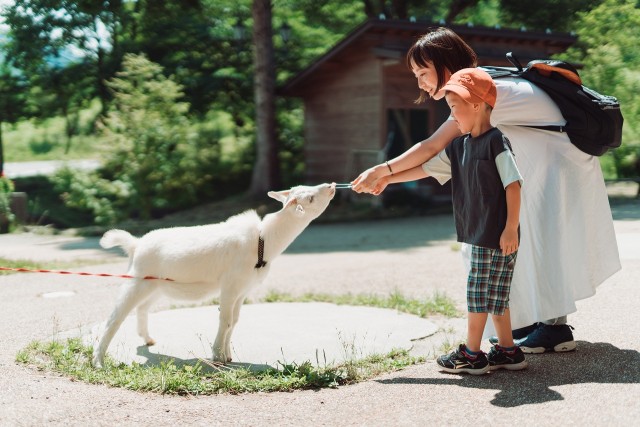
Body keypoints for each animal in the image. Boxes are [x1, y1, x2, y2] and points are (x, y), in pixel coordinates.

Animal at [94, 183, 340, 368]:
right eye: (310, 198)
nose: (331, 186)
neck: (263, 240)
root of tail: (135, 245)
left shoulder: (242, 289)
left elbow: (235, 320)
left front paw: (227, 355)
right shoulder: (230, 285)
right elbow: (226, 319)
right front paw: (217, 356)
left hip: (156, 285)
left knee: (143, 307)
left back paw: (147, 339)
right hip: (137, 279)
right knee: (115, 317)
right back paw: (98, 361)